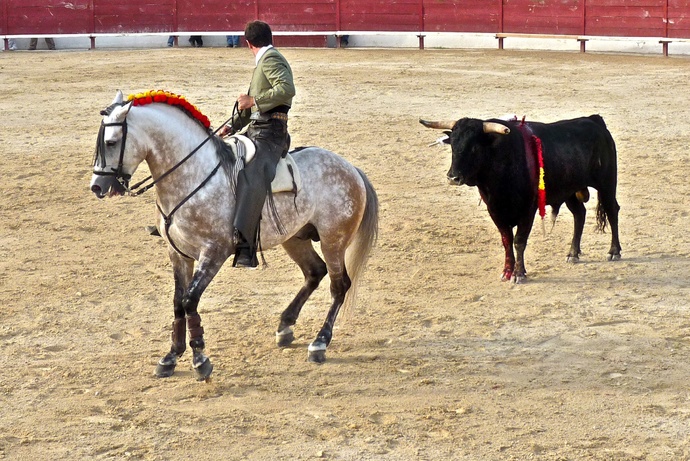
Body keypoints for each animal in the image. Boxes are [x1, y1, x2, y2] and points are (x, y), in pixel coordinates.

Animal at [420, 115, 621, 283]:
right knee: (579, 214)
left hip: (606, 183)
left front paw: (519, 273)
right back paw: (573, 253)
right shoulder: (495, 211)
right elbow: (507, 241)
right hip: (570, 190)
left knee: (612, 210)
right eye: (453, 145)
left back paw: (614, 251)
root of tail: (594, 120)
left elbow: (519, 241)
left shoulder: (528, 211)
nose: (452, 177)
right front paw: (507, 271)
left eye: (474, 147)